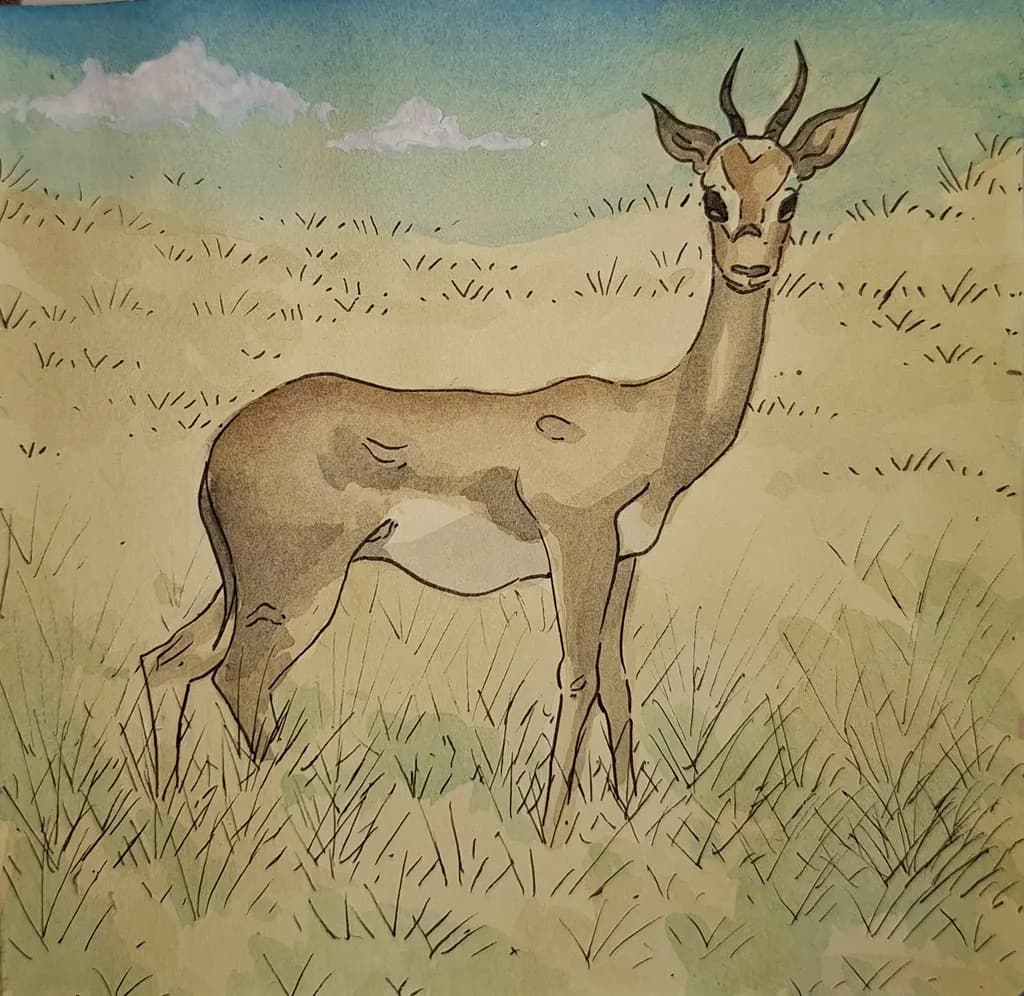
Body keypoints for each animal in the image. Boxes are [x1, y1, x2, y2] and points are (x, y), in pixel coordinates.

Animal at [141, 43, 876, 843]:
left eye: (789, 197)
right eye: (713, 196)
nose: (750, 269)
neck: (654, 415)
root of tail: (222, 446)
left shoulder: (623, 561)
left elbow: (618, 682)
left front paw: (628, 815)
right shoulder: (578, 544)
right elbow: (577, 676)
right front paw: (551, 834)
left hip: (239, 585)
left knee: (168, 660)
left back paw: (170, 809)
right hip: (297, 589)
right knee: (236, 676)